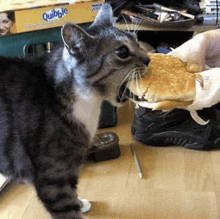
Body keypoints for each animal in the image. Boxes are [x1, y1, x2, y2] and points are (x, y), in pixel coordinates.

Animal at [0, 3, 149, 219]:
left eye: (137, 41)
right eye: (122, 51)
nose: (149, 59)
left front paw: (80, 202)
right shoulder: (54, 177)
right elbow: (67, 207)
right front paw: (77, 208)